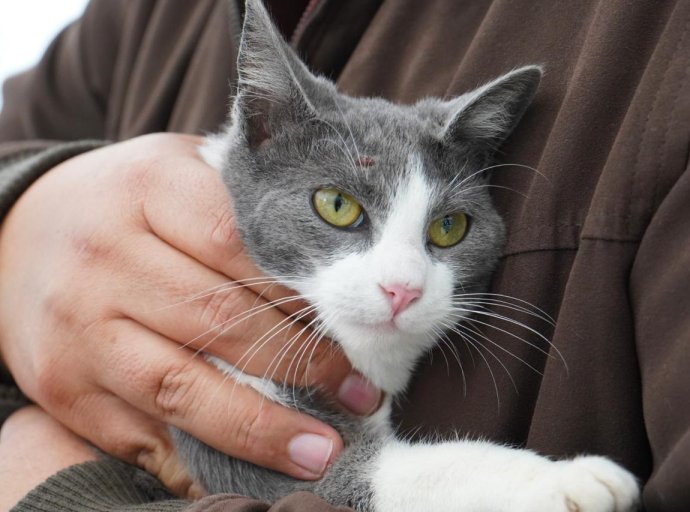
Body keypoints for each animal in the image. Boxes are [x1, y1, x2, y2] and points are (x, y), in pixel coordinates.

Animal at [169, 1, 636, 512]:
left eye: (449, 227)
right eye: (337, 204)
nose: (403, 289)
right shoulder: (238, 433)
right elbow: (358, 476)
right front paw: (568, 479)